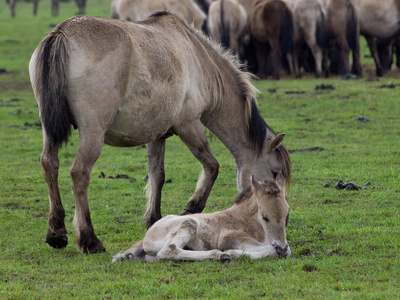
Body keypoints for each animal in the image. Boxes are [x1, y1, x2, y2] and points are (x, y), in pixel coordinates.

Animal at [112, 173, 290, 262]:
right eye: (265, 217)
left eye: (286, 214)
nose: (281, 246)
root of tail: (147, 236)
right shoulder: (229, 238)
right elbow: (272, 251)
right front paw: (231, 253)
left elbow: (283, 251)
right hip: (189, 223)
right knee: (168, 251)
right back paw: (220, 255)